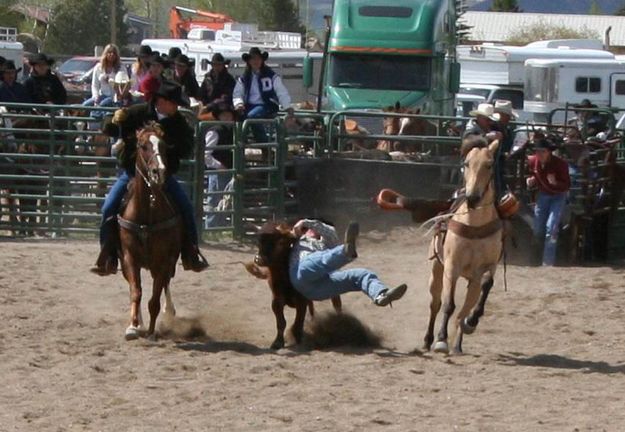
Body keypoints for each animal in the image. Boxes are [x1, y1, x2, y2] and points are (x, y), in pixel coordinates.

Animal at [117, 122, 182, 340]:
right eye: (142, 145)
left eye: (163, 145)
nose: (158, 171)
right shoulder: (129, 257)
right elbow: (136, 292)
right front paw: (133, 326)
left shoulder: (162, 260)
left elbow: (154, 299)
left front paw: (152, 332)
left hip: (168, 261)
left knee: (165, 285)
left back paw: (169, 311)